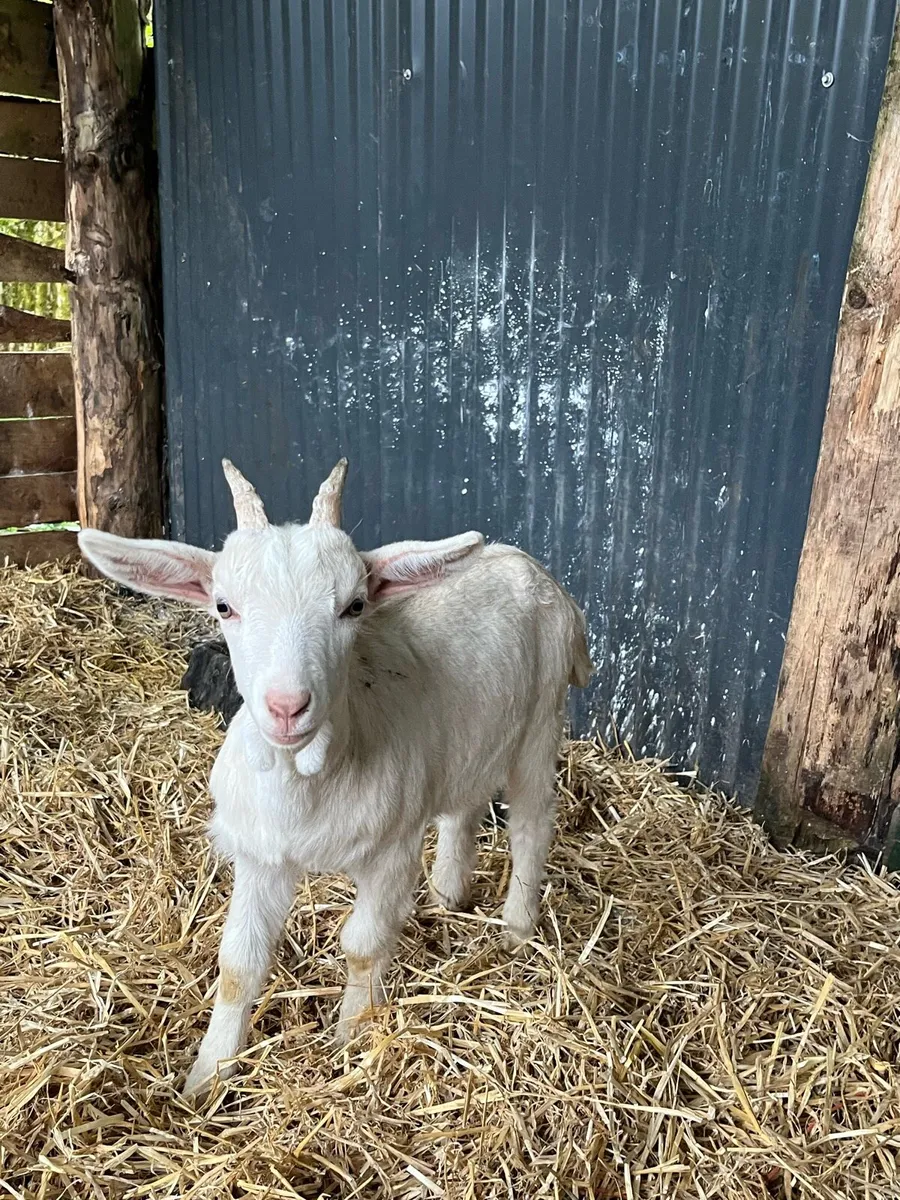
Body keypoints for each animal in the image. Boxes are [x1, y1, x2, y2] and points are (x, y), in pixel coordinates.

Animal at [78, 459, 593, 1096]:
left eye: (353, 606)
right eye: (223, 606)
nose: (287, 706)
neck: (306, 781)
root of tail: (530, 566)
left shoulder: (391, 849)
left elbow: (363, 946)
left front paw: (351, 1041)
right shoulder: (262, 856)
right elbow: (238, 963)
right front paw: (206, 1077)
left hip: (542, 719)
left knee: (531, 824)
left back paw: (516, 928)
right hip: (469, 738)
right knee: (462, 806)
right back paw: (446, 896)